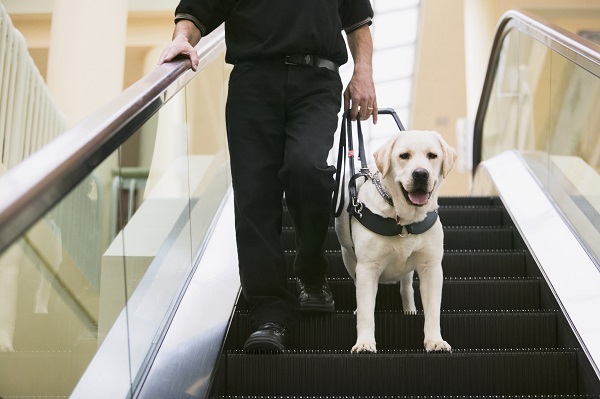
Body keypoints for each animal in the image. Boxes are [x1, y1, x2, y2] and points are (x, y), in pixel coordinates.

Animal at [336, 130, 458, 354]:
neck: (405, 221)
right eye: (404, 156)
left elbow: (433, 309)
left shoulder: (431, 268)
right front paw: (364, 342)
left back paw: (410, 309)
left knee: (406, 285)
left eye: (432, 155)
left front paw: (435, 340)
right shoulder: (367, 268)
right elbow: (366, 311)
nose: (421, 174)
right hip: (348, 257)